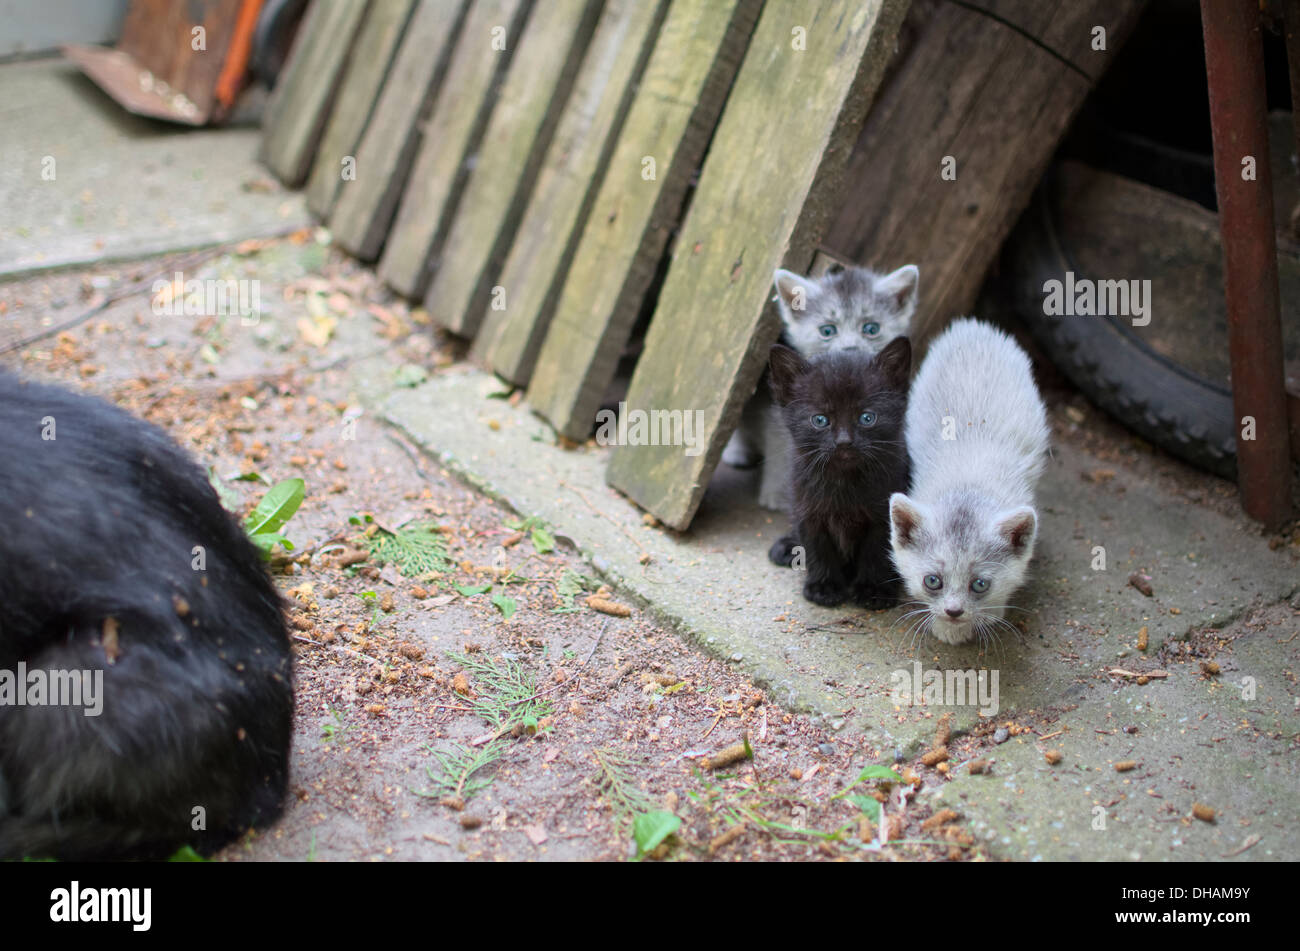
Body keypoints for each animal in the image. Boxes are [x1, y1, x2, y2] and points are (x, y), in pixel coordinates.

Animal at [764, 337, 909, 608]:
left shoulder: (883, 514)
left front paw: (873, 589)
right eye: (820, 420)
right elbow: (817, 549)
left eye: (867, 417)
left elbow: (876, 551)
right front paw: (824, 587)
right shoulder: (807, 510)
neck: (844, 482)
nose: (844, 442)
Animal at [889, 317, 1050, 646]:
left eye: (980, 584)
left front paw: (984, 615)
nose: (954, 612)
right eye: (932, 581)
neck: (967, 486)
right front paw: (947, 627)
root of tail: (974, 325)